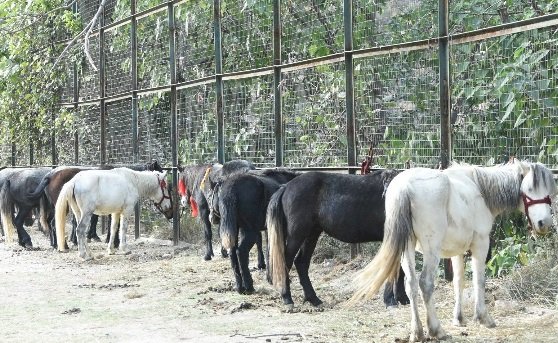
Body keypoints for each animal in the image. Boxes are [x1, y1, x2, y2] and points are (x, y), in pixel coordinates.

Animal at [266, 171, 412, 310]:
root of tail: (286, 187)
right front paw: (391, 300)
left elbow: (400, 270)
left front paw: (403, 298)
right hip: (297, 235)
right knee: (286, 261)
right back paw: (287, 299)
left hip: (311, 234)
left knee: (301, 263)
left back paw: (314, 300)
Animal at [352, 160, 556, 342]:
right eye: (528, 189)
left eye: (549, 192)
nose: (544, 224)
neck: (481, 190)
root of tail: (405, 188)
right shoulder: (480, 245)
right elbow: (479, 281)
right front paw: (483, 318)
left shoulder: (457, 252)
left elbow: (459, 282)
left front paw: (459, 319)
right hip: (431, 250)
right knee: (425, 283)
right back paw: (437, 331)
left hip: (406, 248)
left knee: (411, 284)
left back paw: (417, 332)